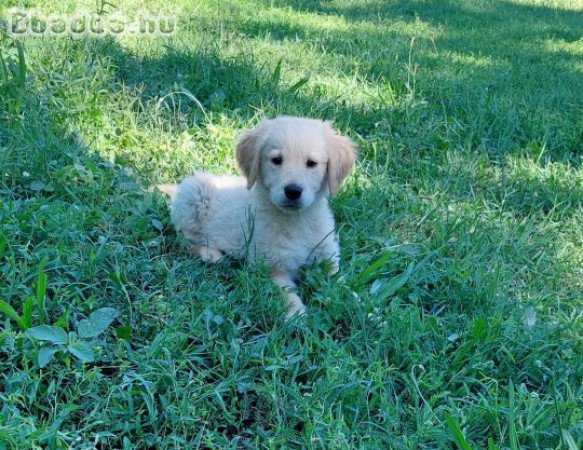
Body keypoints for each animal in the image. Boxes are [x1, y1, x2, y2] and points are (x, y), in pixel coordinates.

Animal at [164, 116, 356, 318]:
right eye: (276, 160)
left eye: (312, 163)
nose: (293, 191)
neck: (297, 221)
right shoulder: (270, 267)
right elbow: (287, 294)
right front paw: (297, 314)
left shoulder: (329, 258)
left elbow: (344, 282)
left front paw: (359, 304)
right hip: (192, 194)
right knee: (185, 239)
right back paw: (211, 255)